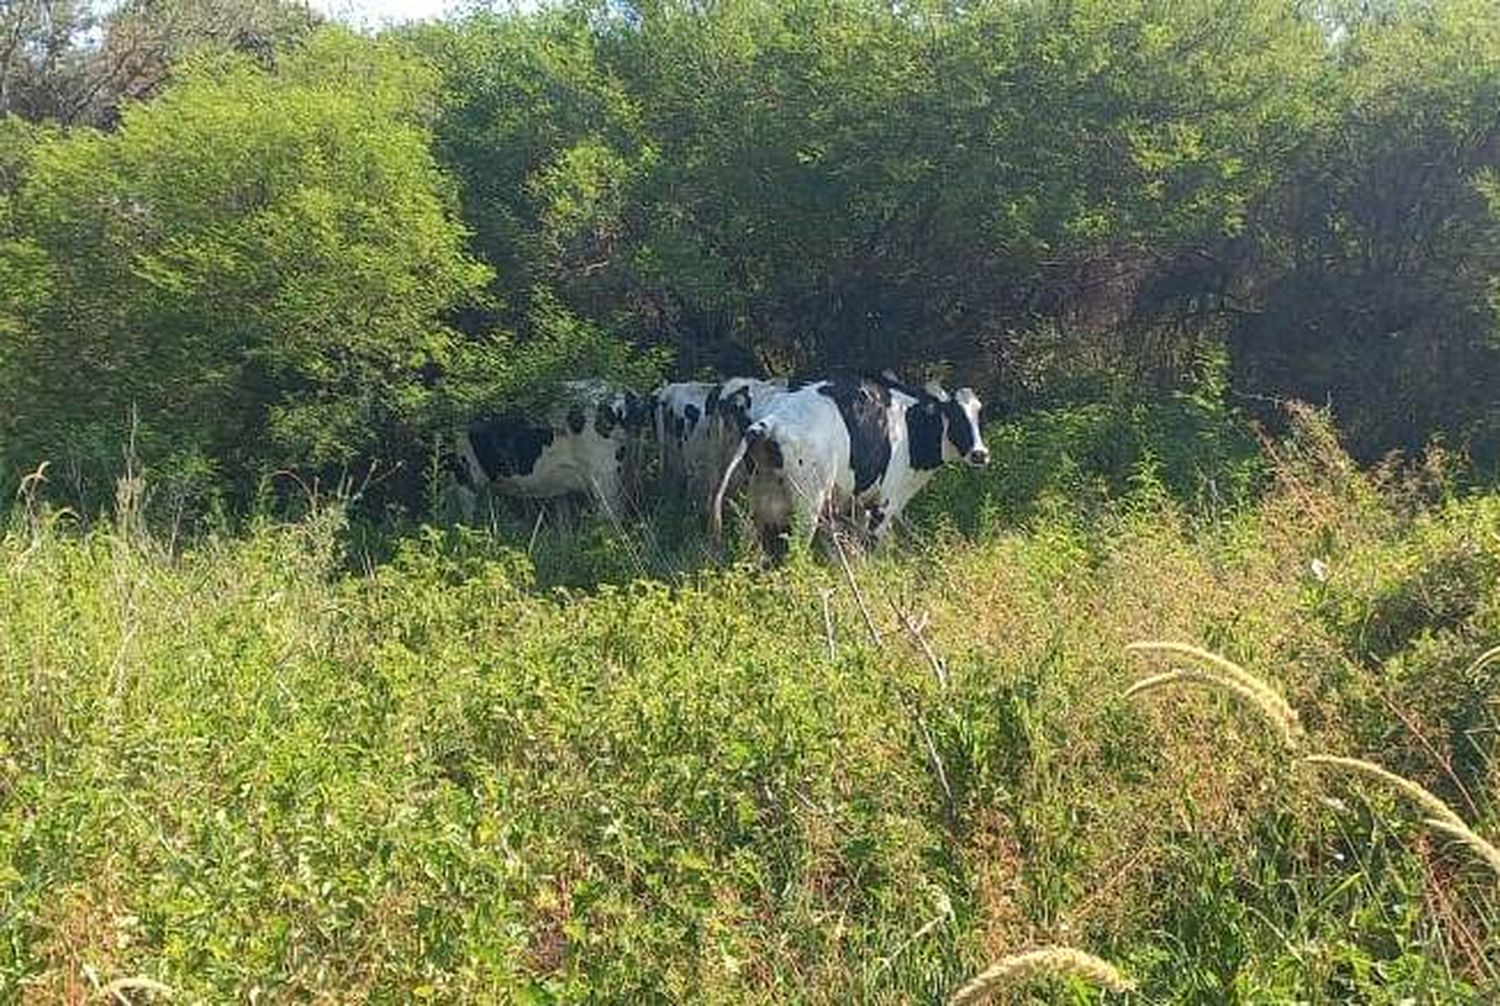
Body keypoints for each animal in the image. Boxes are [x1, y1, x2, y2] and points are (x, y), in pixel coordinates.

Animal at [711, 371, 990, 557]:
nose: (980, 454)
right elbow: (871, 549)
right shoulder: (884, 503)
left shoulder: (859, 503)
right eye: (954, 415)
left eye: (979, 414)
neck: (911, 425)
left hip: (763, 498)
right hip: (808, 502)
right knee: (796, 551)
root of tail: (771, 420)